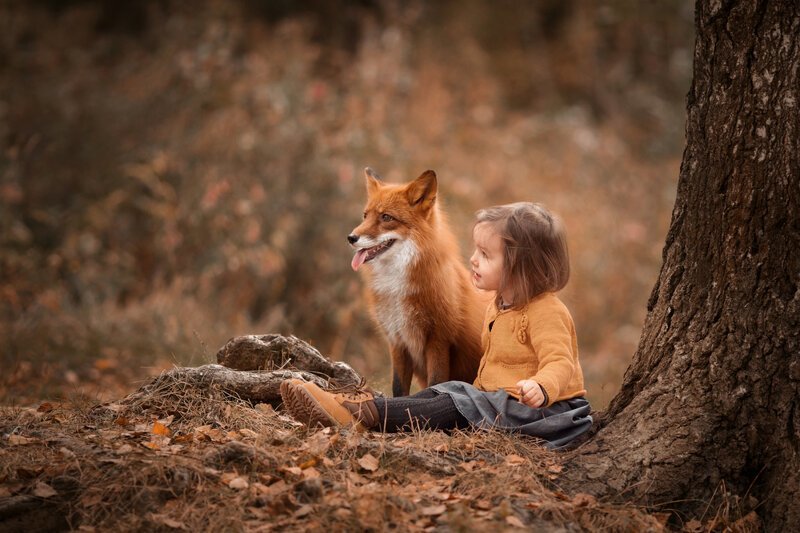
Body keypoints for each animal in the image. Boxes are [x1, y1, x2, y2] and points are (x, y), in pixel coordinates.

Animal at [348, 167, 489, 397]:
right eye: (365, 215)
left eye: (386, 217)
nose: (351, 238)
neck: (397, 289)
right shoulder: (397, 340)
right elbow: (398, 387)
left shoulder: (438, 340)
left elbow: (436, 384)